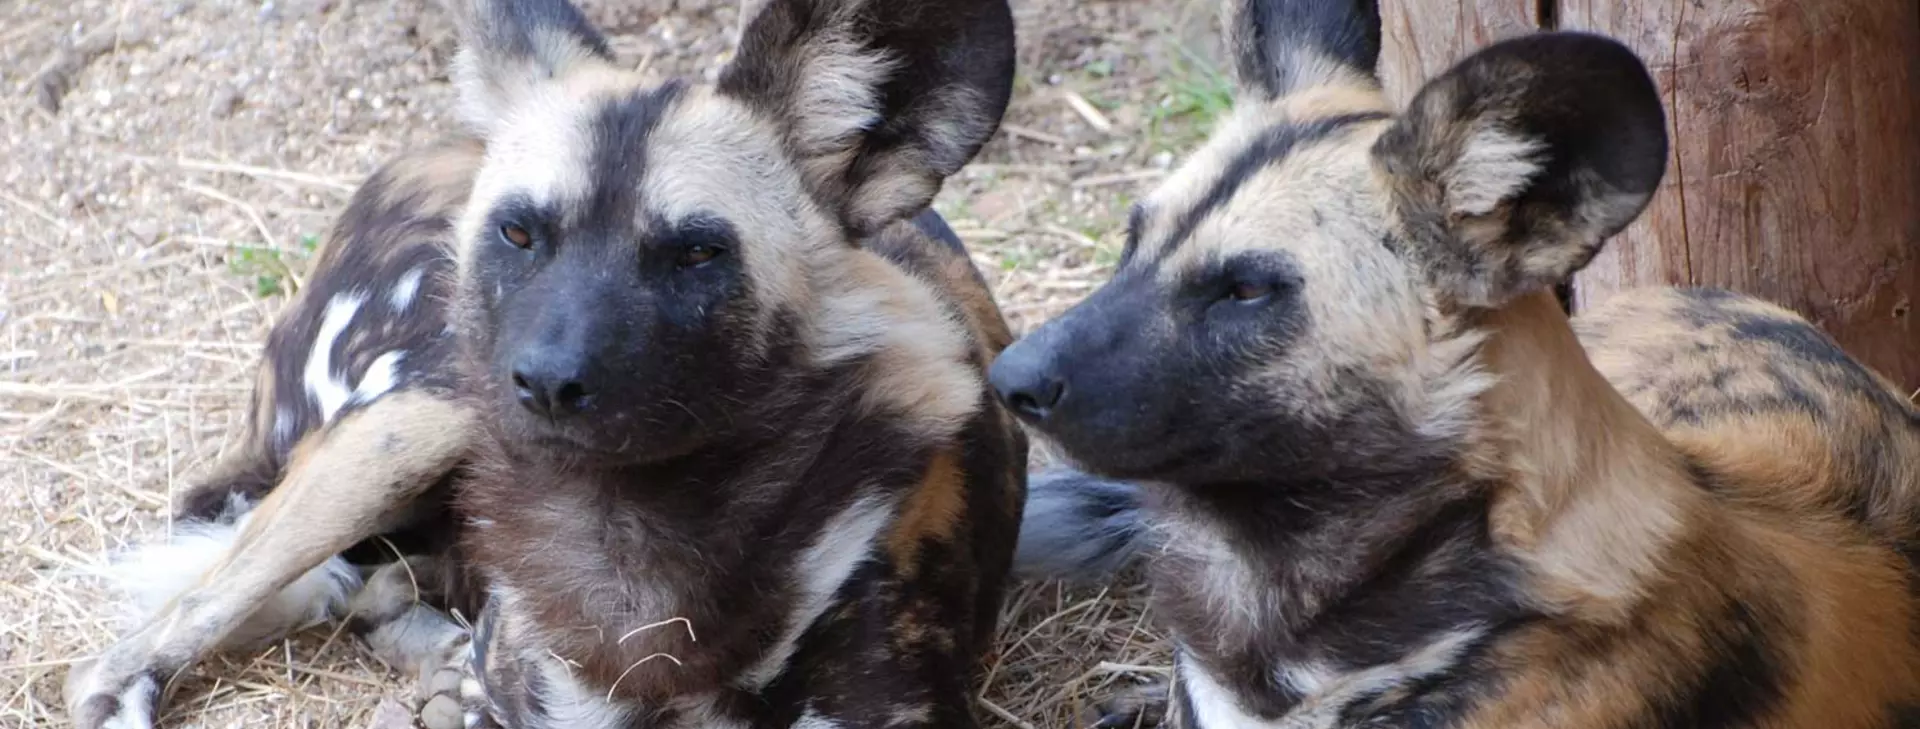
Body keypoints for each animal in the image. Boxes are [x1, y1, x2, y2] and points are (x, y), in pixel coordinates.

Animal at [67, 0, 1029, 725]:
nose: (545, 381)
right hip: (411, 428)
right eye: (519, 233)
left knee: (372, 594)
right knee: (150, 639)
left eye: (697, 254)